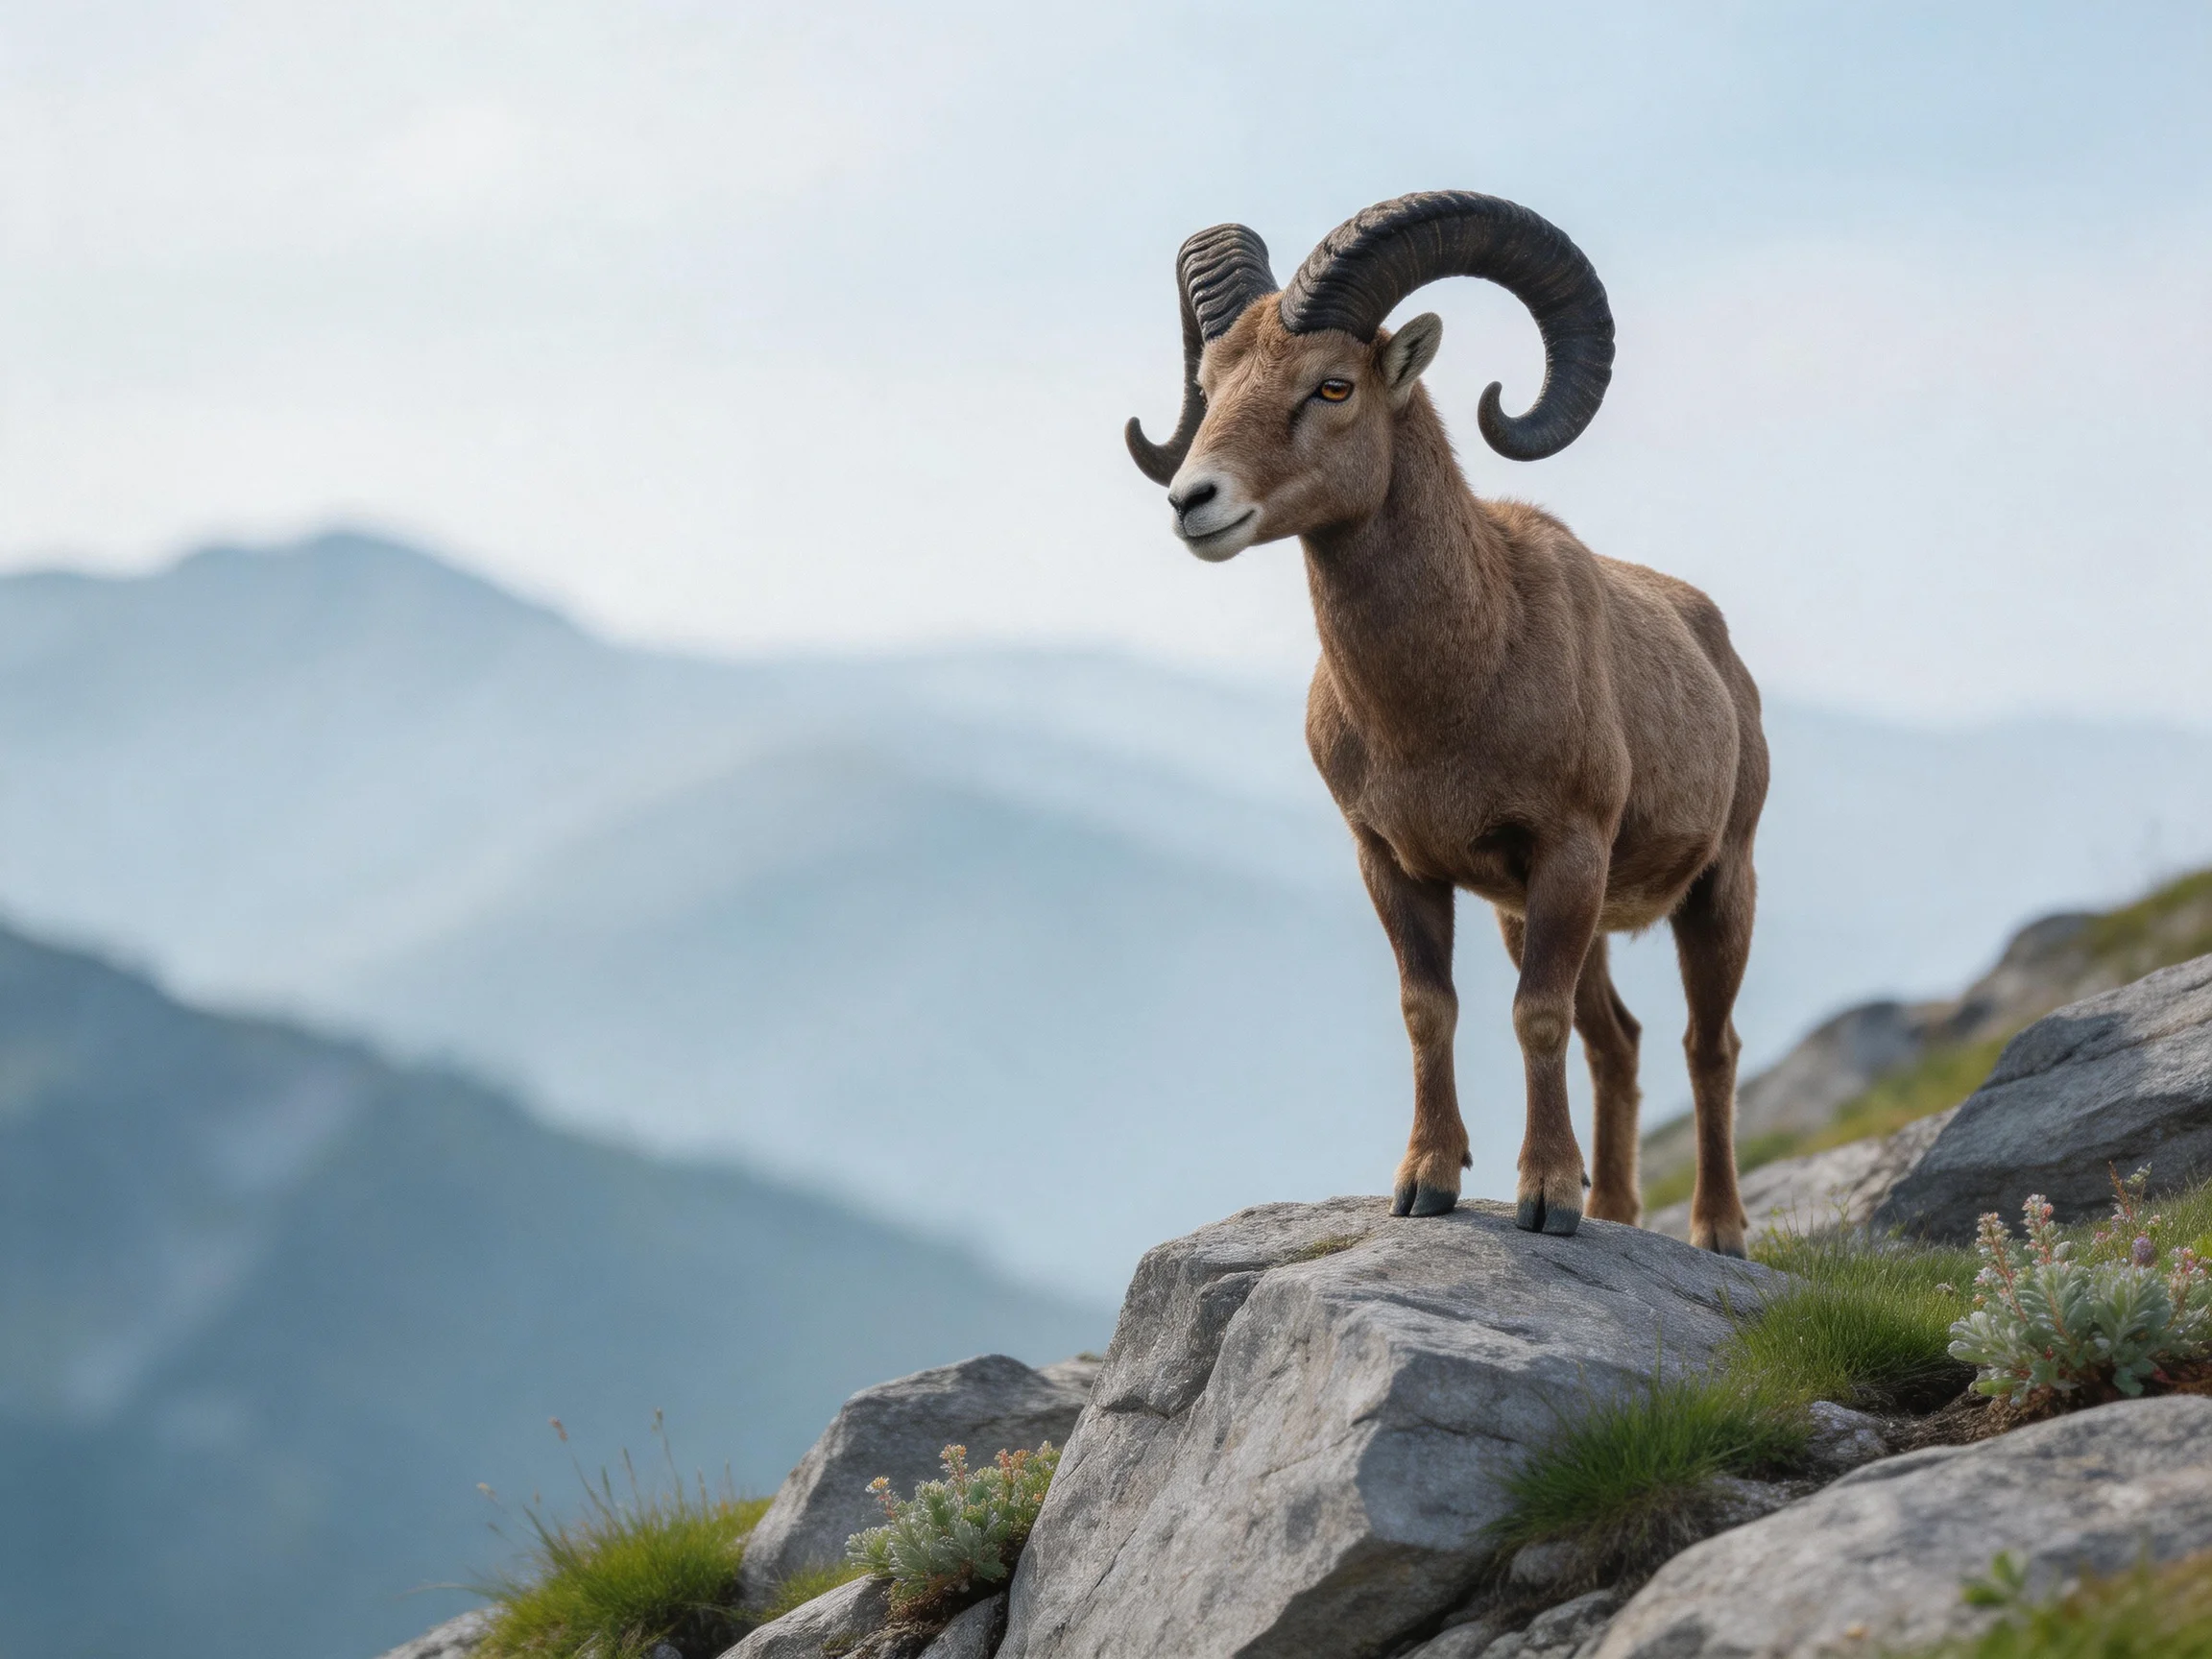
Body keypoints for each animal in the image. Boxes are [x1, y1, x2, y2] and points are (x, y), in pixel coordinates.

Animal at [1127, 192, 1765, 1254]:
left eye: (1332, 386)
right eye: (1210, 387)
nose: (1194, 502)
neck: (1446, 695)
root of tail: (1716, 641)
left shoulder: (1567, 854)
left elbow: (1535, 1017)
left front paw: (1544, 1200)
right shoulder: (1398, 865)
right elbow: (1430, 1009)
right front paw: (1426, 1181)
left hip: (1718, 888)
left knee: (1707, 1044)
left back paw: (1713, 1231)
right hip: (1547, 917)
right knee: (1620, 1044)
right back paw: (1614, 1209)